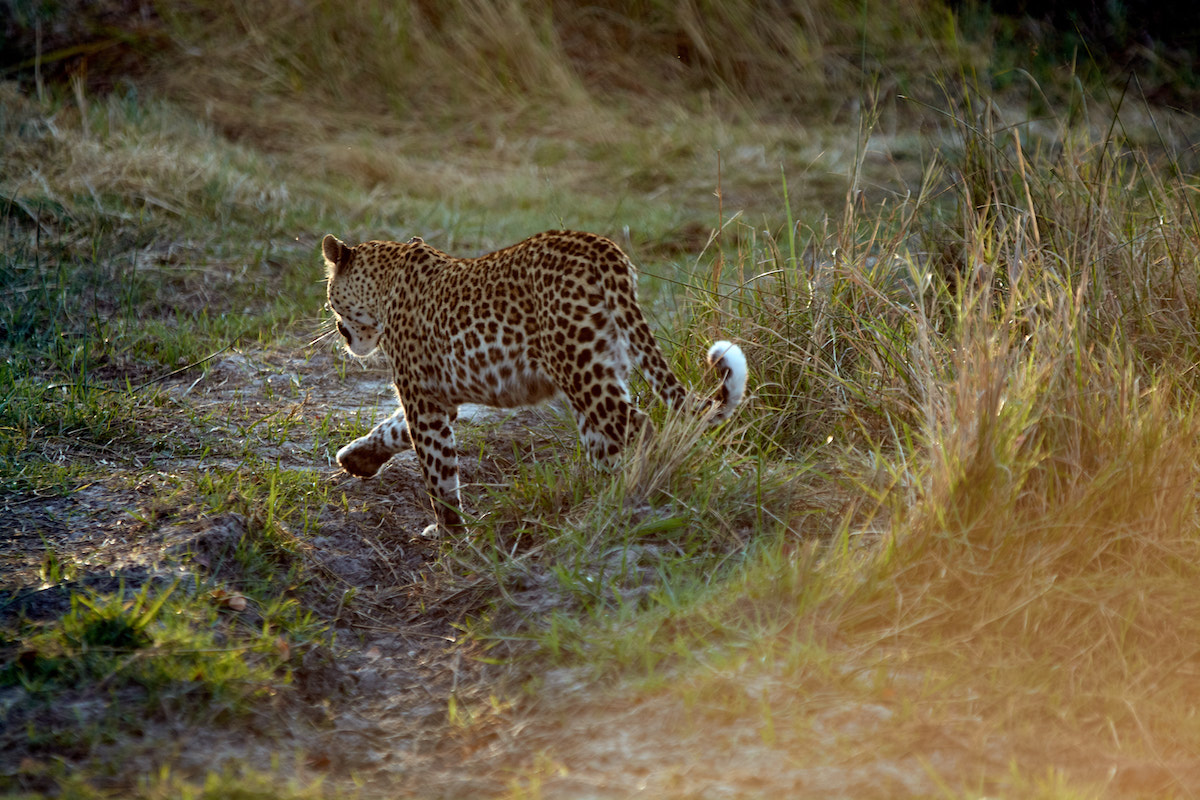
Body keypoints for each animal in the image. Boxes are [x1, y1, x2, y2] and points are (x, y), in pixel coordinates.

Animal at [321, 230, 748, 538]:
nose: (341, 332)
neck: (385, 282)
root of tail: (602, 247)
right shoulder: (438, 398)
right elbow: (391, 429)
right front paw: (356, 458)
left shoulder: (421, 397)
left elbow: (436, 469)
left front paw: (449, 534)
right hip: (600, 371)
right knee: (607, 446)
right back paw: (597, 509)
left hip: (581, 370)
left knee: (642, 429)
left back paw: (646, 491)